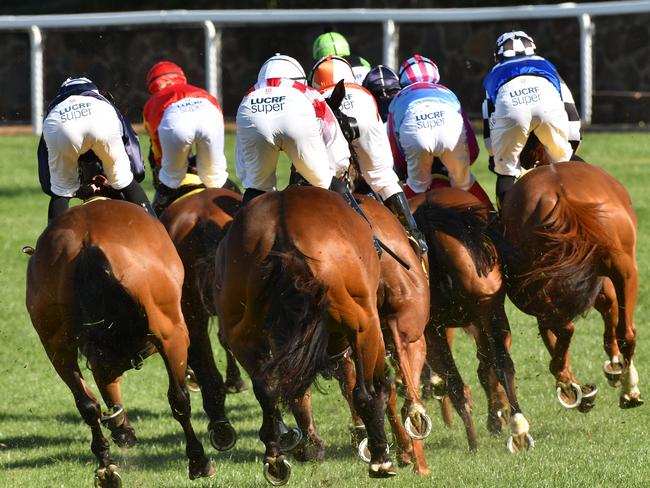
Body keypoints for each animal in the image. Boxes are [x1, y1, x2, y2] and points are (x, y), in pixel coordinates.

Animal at [24, 200, 213, 486]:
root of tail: (87, 240)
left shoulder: (99, 354)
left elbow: (105, 389)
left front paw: (121, 429)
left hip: (55, 345)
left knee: (87, 404)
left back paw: (106, 466)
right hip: (171, 332)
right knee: (179, 400)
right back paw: (198, 460)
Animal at [213, 185, 394, 482]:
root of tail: (282, 228)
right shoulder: (366, 327)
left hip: (241, 333)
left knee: (268, 389)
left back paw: (275, 457)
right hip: (364, 324)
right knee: (365, 393)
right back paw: (381, 458)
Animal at [410, 188, 532, 454]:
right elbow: (487, 368)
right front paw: (498, 416)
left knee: (471, 377)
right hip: (484, 314)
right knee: (497, 367)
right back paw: (514, 429)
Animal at [498, 163, 640, 412]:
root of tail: (562, 195)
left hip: (529, 288)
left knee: (564, 326)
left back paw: (569, 383)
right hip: (626, 271)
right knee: (625, 332)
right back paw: (628, 389)